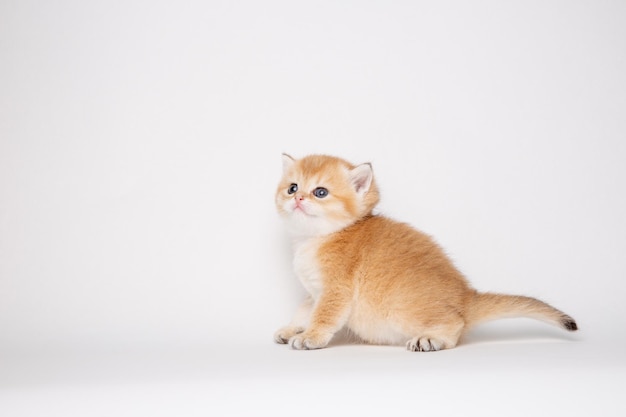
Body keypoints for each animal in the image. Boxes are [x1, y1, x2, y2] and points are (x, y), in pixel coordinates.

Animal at [272, 153, 576, 352]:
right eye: (292, 187)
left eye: (320, 192)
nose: (298, 198)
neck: (315, 238)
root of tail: (466, 297)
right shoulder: (315, 292)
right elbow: (305, 310)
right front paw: (292, 329)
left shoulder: (336, 290)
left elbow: (324, 315)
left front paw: (311, 337)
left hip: (401, 310)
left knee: (455, 324)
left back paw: (432, 339)